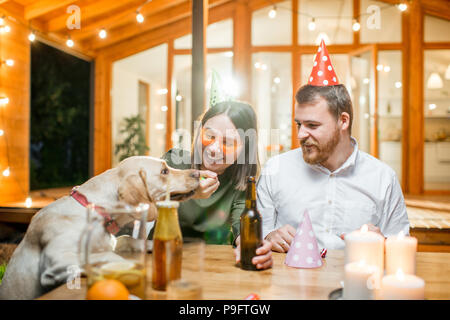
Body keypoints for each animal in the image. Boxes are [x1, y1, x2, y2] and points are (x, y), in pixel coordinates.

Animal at [0, 157, 199, 300]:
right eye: (164, 171)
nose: (197, 172)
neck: (96, 211)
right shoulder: (56, 259)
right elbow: (107, 256)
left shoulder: (114, 241)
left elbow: (126, 239)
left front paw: (151, 245)